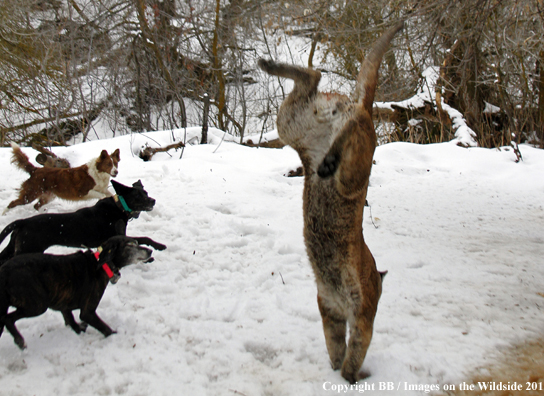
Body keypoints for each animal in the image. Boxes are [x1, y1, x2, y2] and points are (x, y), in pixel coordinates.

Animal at [0, 179, 166, 262]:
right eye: (138, 196)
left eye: (146, 192)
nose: (153, 200)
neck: (119, 207)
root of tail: (23, 221)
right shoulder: (116, 237)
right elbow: (143, 238)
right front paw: (159, 246)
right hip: (27, 248)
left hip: (13, 248)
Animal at [0, 237, 153, 348]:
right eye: (130, 244)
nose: (150, 251)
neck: (101, 264)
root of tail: (4, 272)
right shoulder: (87, 311)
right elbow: (103, 327)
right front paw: (114, 334)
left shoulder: (63, 303)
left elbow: (70, 320)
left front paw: (79, 329)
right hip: (37, 304)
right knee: (7, 318)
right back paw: (20, 341)